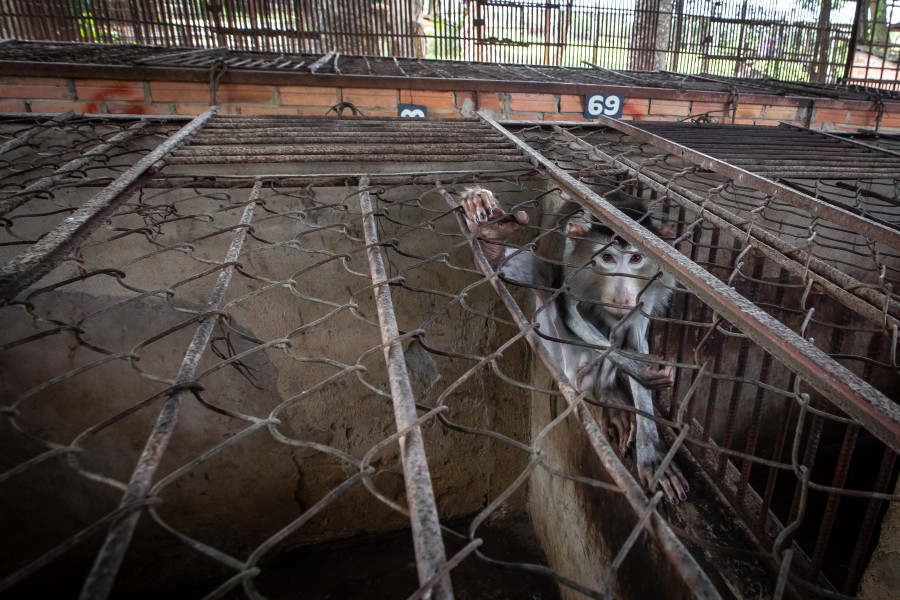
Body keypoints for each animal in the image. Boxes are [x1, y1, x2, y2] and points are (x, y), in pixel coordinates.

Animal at [460, 186, 684, 502]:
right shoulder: (573, 267)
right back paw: (491, 246)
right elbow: (570, 309)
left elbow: (636, 332)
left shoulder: (647, 292)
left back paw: (609, 396)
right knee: (544, 281)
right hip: (564, 357)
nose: (622, 298)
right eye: (607, 258)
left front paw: (652, 452)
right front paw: (640, 369)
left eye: (636, 259)